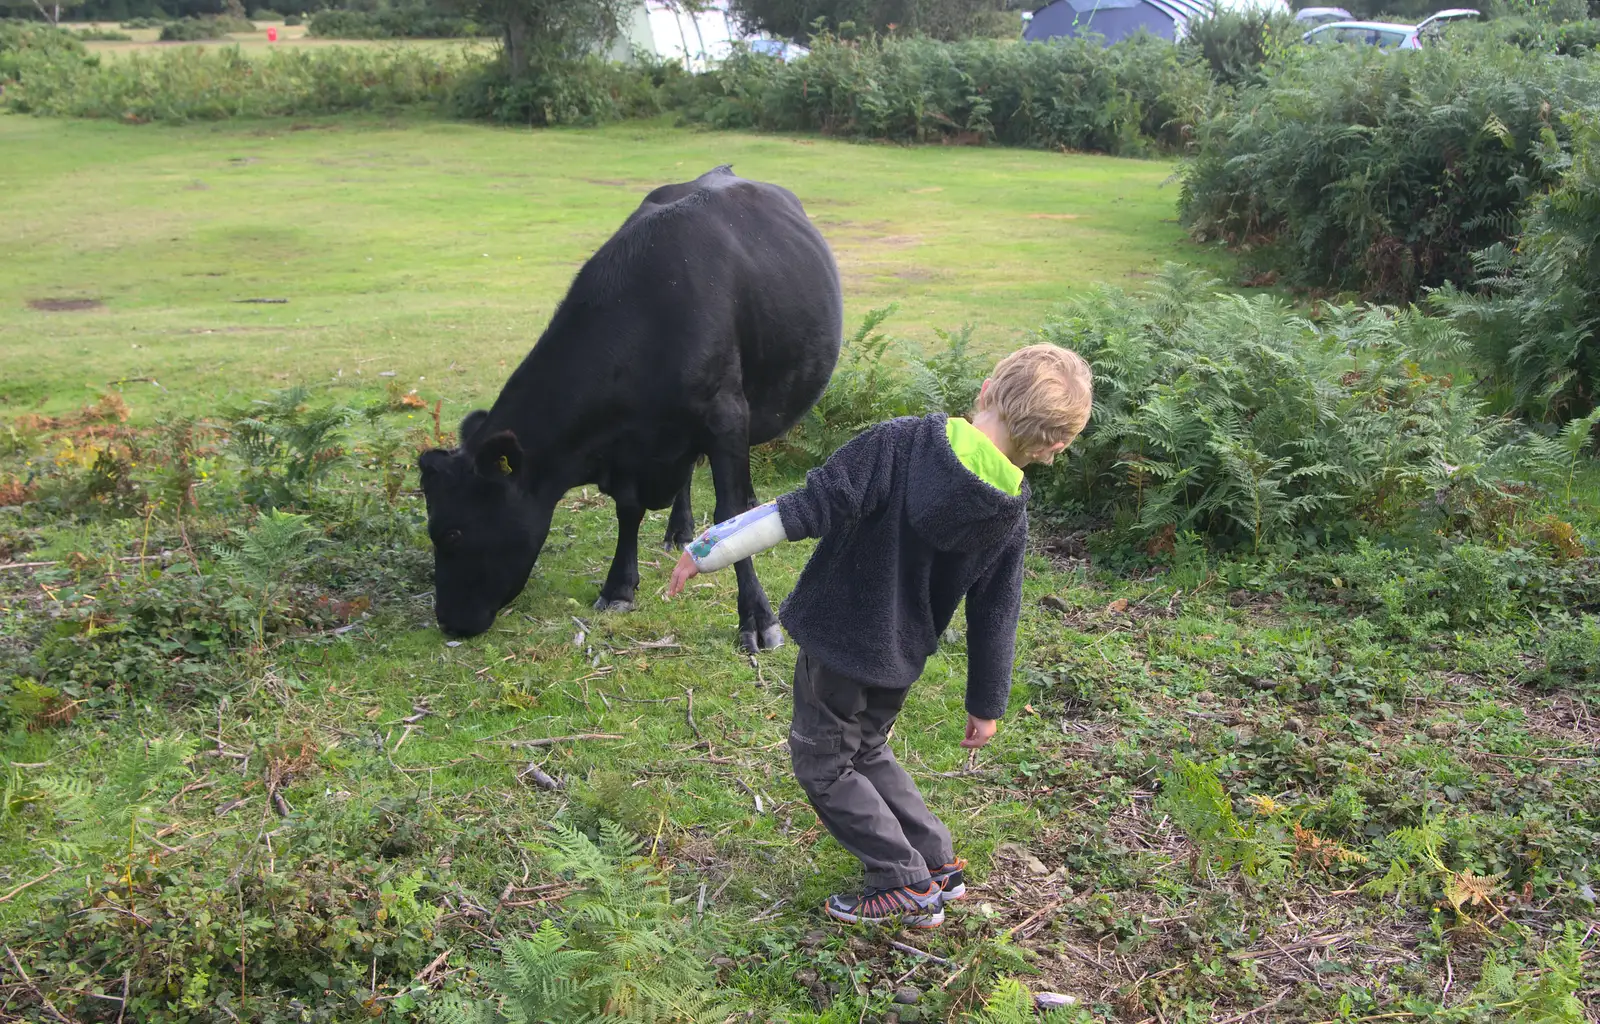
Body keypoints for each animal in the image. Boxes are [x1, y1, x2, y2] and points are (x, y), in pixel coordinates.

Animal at [419, 167, 851, 646]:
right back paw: (678, 529)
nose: (448, 621)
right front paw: (618, 587)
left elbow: (729, 515)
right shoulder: (625, 452)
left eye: (453, 533)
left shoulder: (725, 415)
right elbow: (628, 511)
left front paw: (757, 618)